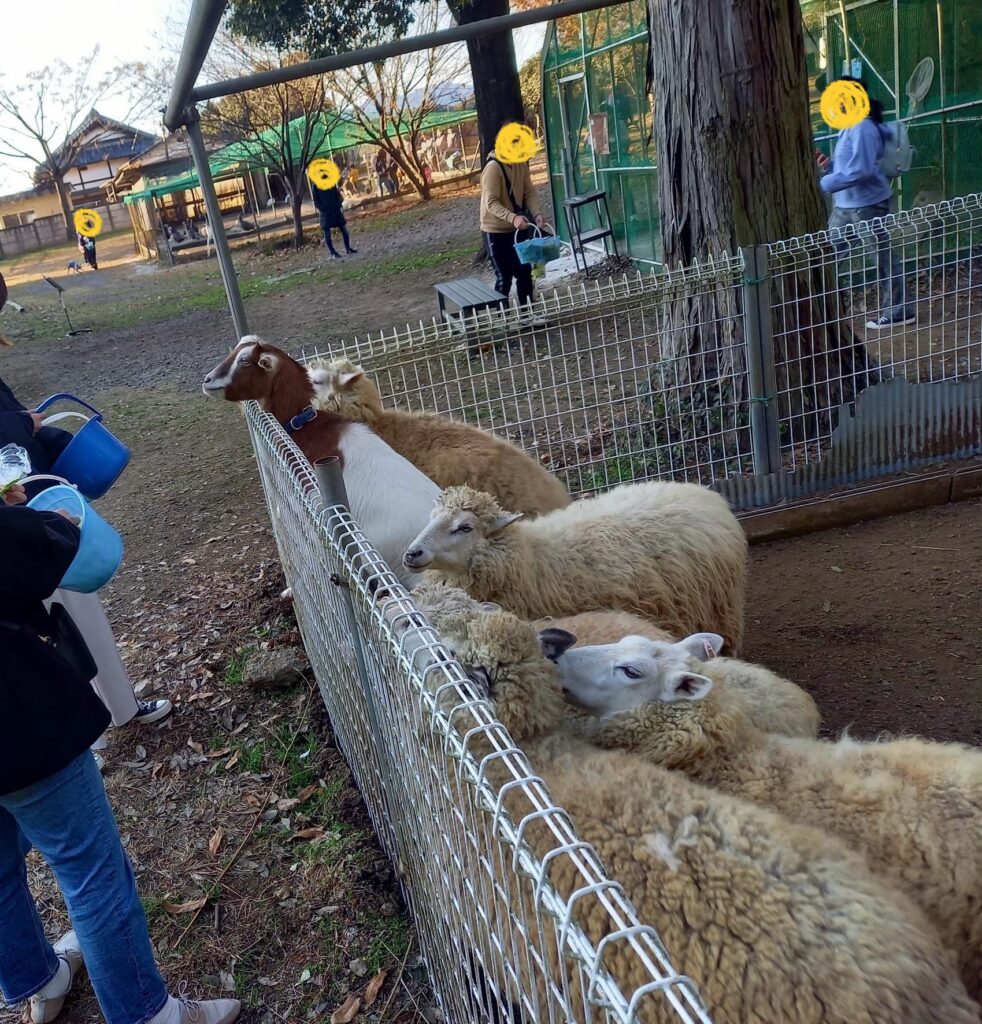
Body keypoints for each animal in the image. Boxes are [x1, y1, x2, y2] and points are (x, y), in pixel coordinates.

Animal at [403, 481, 749, 655]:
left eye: (464, 528)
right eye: (431, 517)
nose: (412, 553)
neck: (529, 558)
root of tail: (706, 494)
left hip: (719, 609)